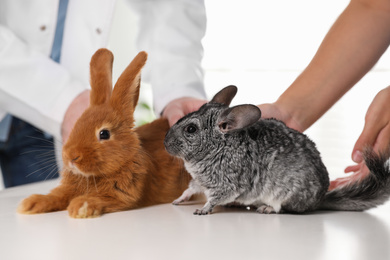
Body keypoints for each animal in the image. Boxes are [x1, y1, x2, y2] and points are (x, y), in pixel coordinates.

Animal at [16, 48, 190, 217]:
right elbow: (57, 196)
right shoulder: (69, 190)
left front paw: (80, 207)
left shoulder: (120, 195)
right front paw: (31, 203)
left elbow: (99, 198)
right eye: (76, 125)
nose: (71, 156)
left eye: (104, 134)